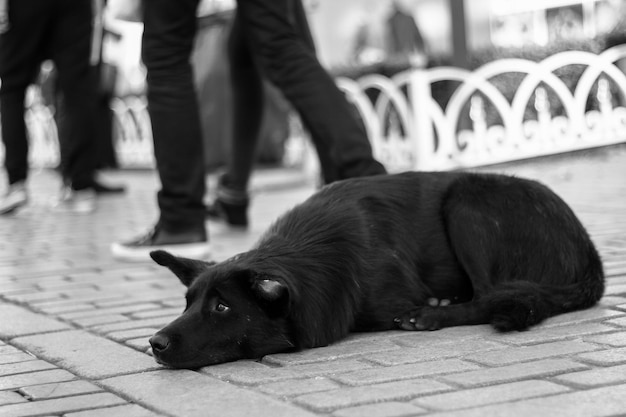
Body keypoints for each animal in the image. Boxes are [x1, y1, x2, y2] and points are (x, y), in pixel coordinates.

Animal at [149, 171, 604, 366]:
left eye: (222, 307)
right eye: (187, 304)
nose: (155, 342)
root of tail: (590, 253)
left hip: (466, 201)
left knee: (491, 295)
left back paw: (432, 314)